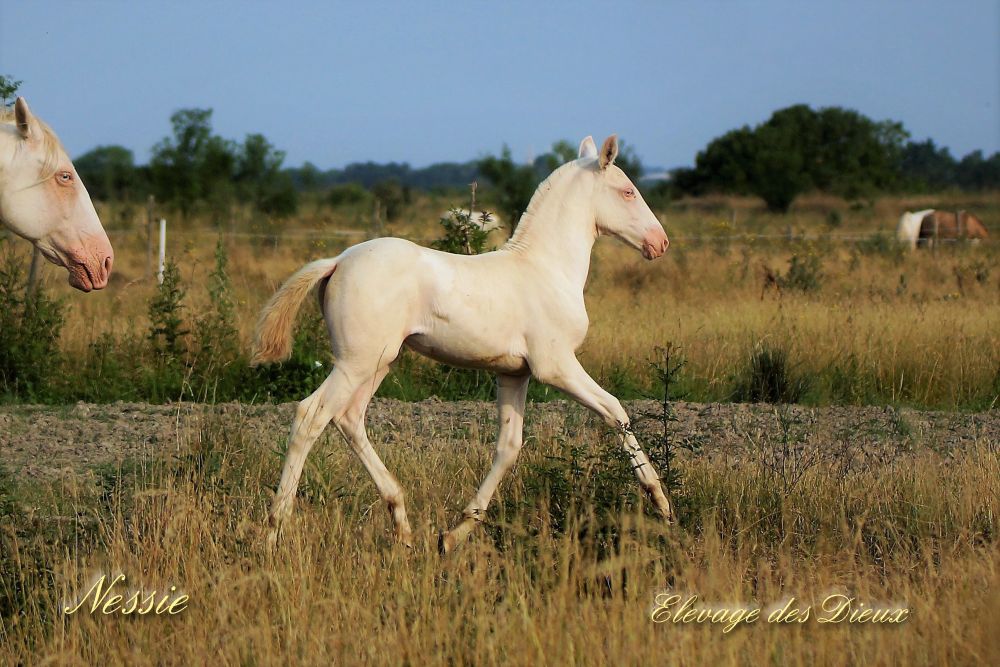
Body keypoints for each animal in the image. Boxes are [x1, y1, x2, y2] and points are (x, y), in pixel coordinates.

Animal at [251, 135, 673, 552]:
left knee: (349, 418)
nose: (661, 242)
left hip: (377, 363)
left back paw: (402, 525)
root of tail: (338, 260)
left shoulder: (514, 374)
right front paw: (661, 503)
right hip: (355, 362)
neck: (545, 269)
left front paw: (453, 535)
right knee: (311, 415)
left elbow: (508, 447)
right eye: (628, 191)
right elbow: (615, 410)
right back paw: (273, 531)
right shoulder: (555, 366)